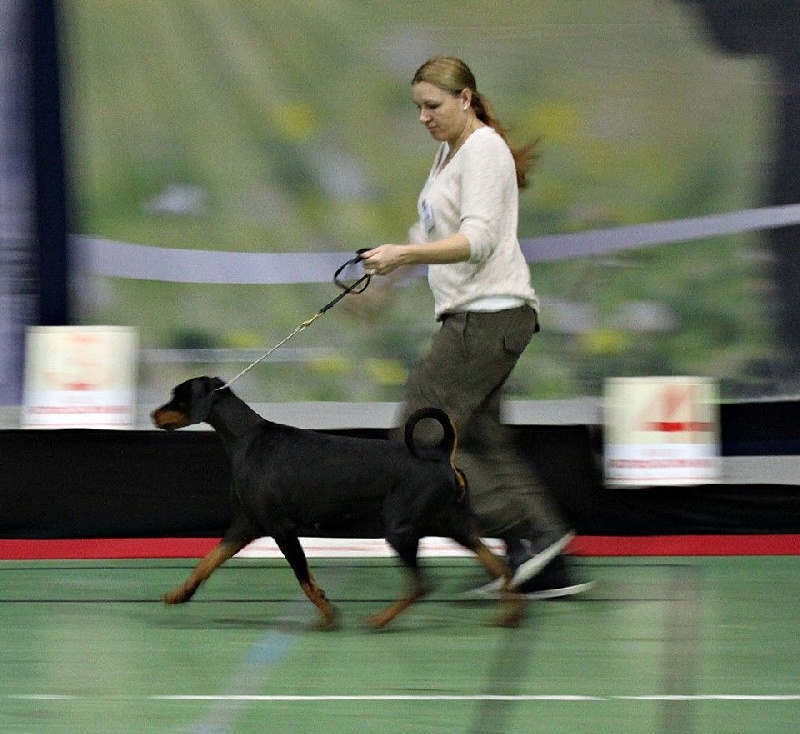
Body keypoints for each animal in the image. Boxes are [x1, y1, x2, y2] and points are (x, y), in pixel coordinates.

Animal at [152, 376, 522, 630]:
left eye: (178, 396)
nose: (155, 415)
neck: (246, 439)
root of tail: (441, 455)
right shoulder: (245, 526)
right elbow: (206, 562)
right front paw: (178, 594)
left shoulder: (280, 529)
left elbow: (304, 579)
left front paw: (329, 615)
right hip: (454, 525)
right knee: (500, 566)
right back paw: (509, 616)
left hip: (401, 530)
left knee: (422, 584)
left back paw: (378, 620)